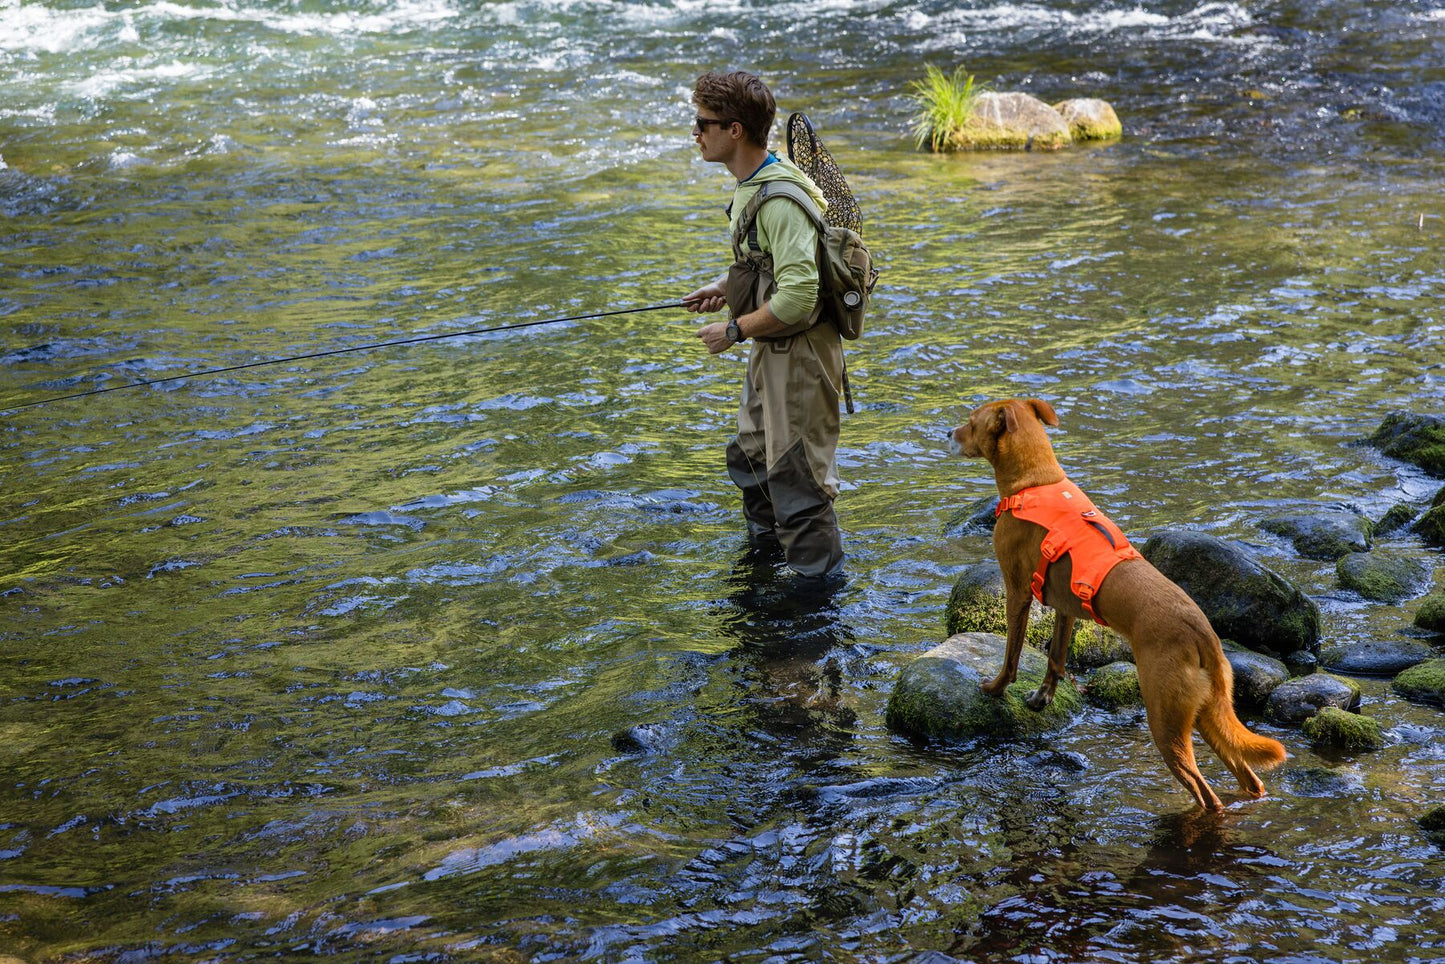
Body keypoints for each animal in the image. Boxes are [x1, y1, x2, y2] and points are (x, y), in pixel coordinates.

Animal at [947, 398, 1288, 815]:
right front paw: (1042, 698)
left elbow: (1012, 655)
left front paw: (995, 689)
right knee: (1248, 777)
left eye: (971, 422)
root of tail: (1202, 635)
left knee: (1203, 791)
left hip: (1165, 717)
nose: (948, 433)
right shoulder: (1065, 607)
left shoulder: (1017, 591)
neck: (1035, 481)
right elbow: (1056, 659)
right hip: (1208, 714)